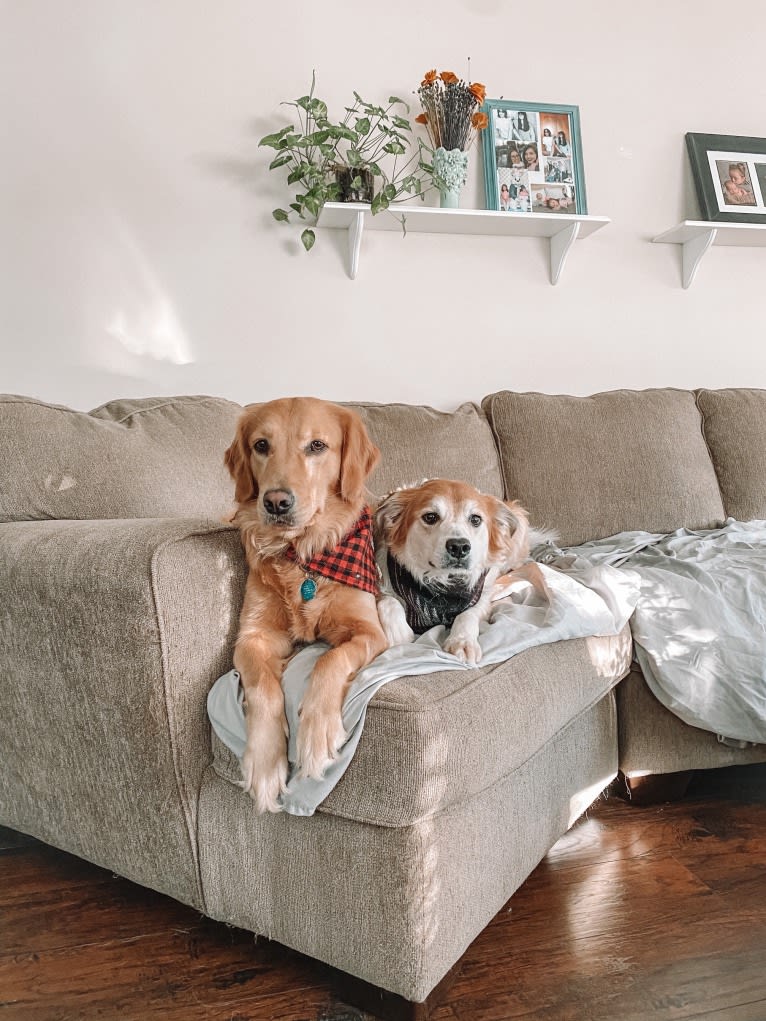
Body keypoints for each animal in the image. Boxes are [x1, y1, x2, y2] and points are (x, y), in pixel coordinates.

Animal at [224, 398, 386, 812]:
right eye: (261, 445)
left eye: (316, 446)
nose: (276, 502)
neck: (302, 555)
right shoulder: (252, 637)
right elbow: (262, 687)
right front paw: (265, 764)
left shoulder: (370, 632)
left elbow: (330, 660)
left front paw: (317, 735)